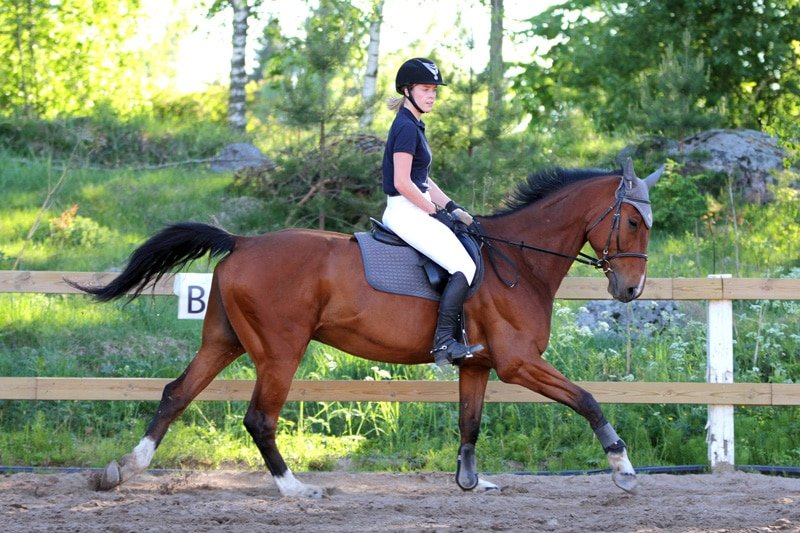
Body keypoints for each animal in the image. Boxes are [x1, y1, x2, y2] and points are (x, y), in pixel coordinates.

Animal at [69, 159, 662, 498]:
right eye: (634, 221)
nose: (630, 290)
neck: (516, 261)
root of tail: (242, 241)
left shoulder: (478, 363)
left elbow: (470, 424)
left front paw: (470, 482)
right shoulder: (519, 364)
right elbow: (587, 399)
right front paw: (623, 466)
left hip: (224, 340)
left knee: (176, 393)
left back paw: (122, 470)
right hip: (280, 351)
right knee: (259, 417)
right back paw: (294, 489)